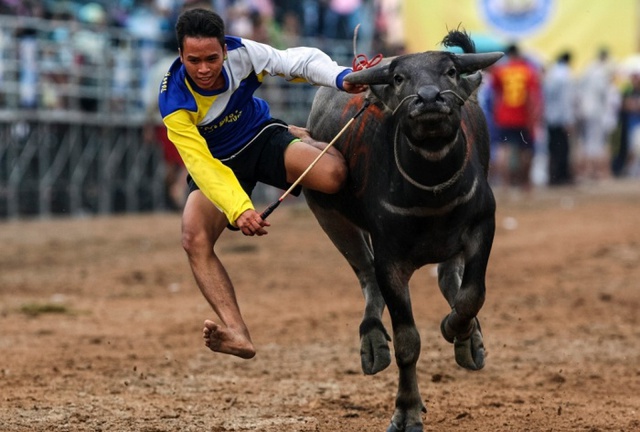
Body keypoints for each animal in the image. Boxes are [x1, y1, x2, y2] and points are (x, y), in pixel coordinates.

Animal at [302, 31, 502, 432]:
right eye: (398, 78)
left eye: (450, 71)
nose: (429, 98)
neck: (432, 187)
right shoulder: (390, 258)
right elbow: (407, 341)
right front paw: (406, 411)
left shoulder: (482, 225)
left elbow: (471, 296)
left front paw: (458, 330)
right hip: (329, 217)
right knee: (366, 277)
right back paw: (372, 342)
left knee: (448, 278)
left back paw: (469, 341)